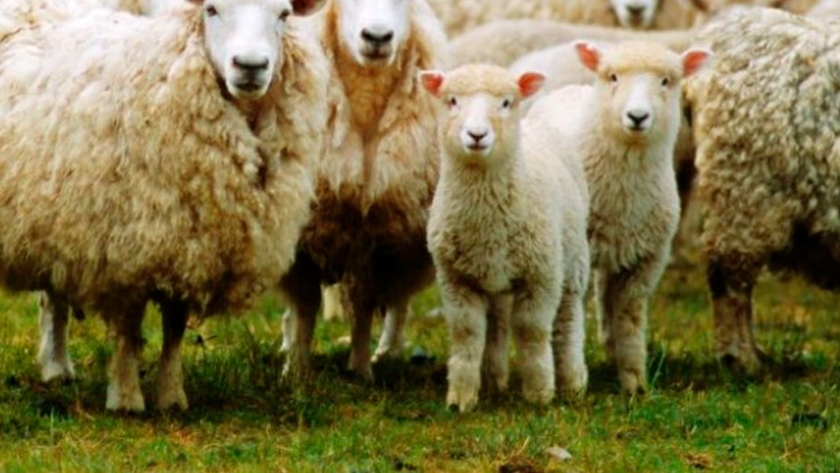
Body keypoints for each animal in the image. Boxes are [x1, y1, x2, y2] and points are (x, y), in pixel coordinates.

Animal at [0, 0, 329, 411]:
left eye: (284, 14)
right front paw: (125, 398)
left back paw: (57, 368)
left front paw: (171, 396)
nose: (250, 65)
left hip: (56, 221)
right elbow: (129, 327)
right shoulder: (128, 246)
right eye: (211, 10)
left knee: (52, 297)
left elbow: (175, 327)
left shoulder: (191, 245)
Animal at [278, 0, 447, 382]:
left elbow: (365, 303)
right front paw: (296, 369)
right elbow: (305, 306)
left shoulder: (380, 238)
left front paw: (360, 370)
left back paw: (389, 350)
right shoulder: (301, 240)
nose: (377, 37)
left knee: (399, 302)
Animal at [419, 64, 590, 412]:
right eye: (452, 100)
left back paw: (572, 382)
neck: (488, 220)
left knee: (568, 320)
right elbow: (467, 334)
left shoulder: (541, 276)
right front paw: (461, 398)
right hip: (493, 278)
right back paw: (493, 381)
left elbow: (532, 331)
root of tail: (535, 124)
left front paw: (539, 393)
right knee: (497, 324)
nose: (476, 135)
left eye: (506, 103)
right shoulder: (456, 280)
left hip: (572, 260)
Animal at [528, 41, 711, 392]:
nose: (637, 116)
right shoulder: (577, 256)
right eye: (612, 76)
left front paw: (634, 381)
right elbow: (569, 315)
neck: (623, 194)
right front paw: (574, 379)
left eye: (667, 81)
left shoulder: (646, 259)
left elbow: (629, 317)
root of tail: (572, 89)